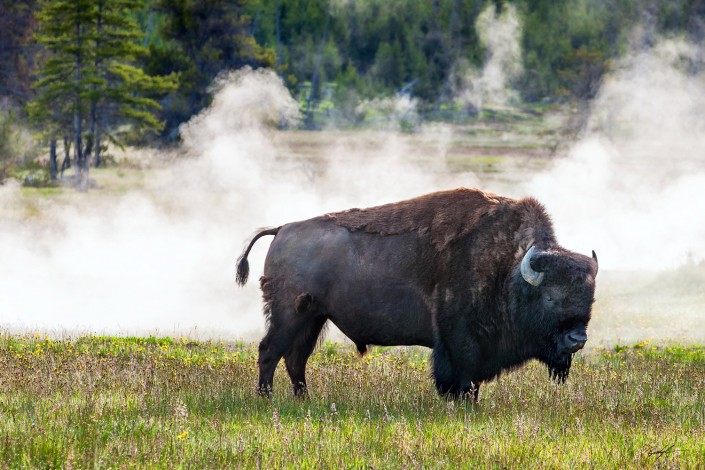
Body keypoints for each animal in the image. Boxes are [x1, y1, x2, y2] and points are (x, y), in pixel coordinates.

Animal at [235, 186, 592, 396]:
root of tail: (283, 229)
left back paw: (303, 399)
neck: (511, 268)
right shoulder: (458, 342)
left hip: (313, 319)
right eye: (550, 297)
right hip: (289, 316)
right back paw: (267, 399)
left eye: (590, 299)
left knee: (296, 358)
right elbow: (460, 378)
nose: (577, 339)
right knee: (270, 351)